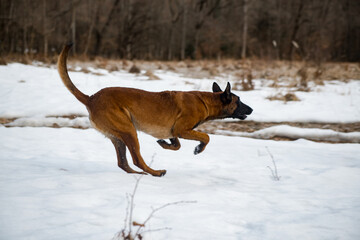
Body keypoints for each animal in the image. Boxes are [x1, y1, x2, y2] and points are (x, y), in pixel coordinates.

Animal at [57, 44, 253, 177]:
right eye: (239, 100)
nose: (251, 109)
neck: (205, 101)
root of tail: (91, 98)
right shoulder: (182, 129)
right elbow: (206, 137)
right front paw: (198, 148)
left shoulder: (174, 131)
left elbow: (176, 145)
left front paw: (165, 144)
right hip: (129, 131)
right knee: (136, 160)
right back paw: (156, 172)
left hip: (118, 137)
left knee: (123, 163)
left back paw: (141, 174)